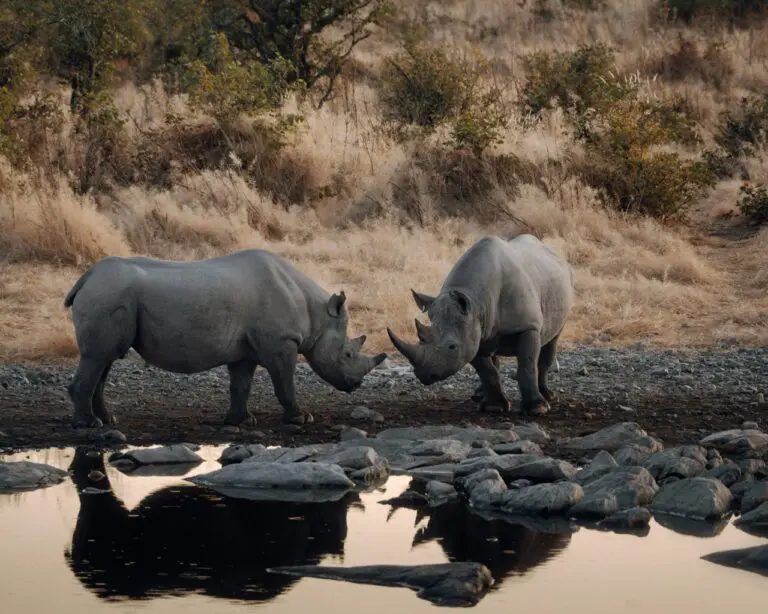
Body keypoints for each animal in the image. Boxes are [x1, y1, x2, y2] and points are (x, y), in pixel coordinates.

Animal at [64, 249, 387, 429]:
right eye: (347, 354)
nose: (356, 385)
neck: (316, 313)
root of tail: (86, 277)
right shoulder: (281, 343)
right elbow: (285, 383)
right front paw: (301, 418)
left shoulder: (244, 350)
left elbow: (241, 385)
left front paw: (240, 421)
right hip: (109, 294)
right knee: (98, 357)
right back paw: (88, 425)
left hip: (111, 295)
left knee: (105, 360)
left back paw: (108, 421)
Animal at [386, 234, 573, 416]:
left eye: (452, 347)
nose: (423, 375)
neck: (476, 301)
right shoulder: (470, 331)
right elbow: (486, 370)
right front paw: (493, 407)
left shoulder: (528, 326)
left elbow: (527, 366)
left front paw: (537, 408)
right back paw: (479, 395)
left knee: (551, 342)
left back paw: (549, 397)